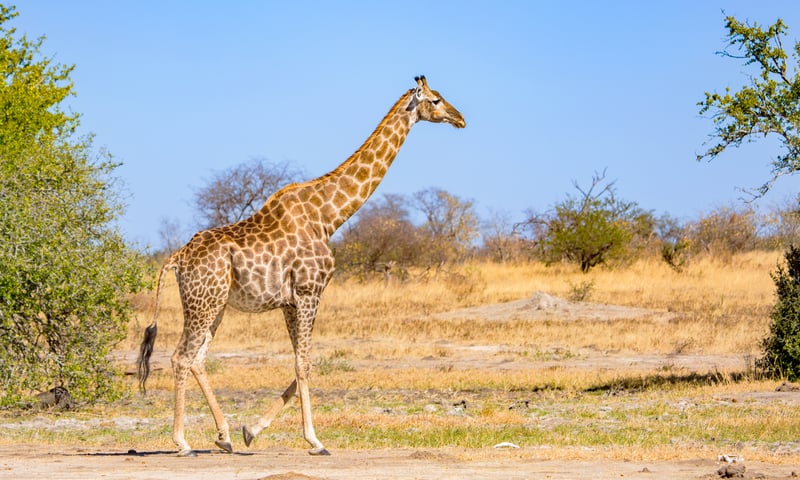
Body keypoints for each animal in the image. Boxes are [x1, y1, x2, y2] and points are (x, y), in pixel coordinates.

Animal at [137, 76, 466, 457]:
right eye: (436, 100)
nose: (460, 118)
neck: (328, 216)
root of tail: (176, 258)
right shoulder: (310, 292)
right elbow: (304, 362)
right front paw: (315, 440)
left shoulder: (290, 302)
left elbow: (300, 362)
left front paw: (252, 429)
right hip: (202, 303)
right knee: (181, 357)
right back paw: (182, 442)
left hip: (214, 305)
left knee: (197, 359)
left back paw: (225, 436)